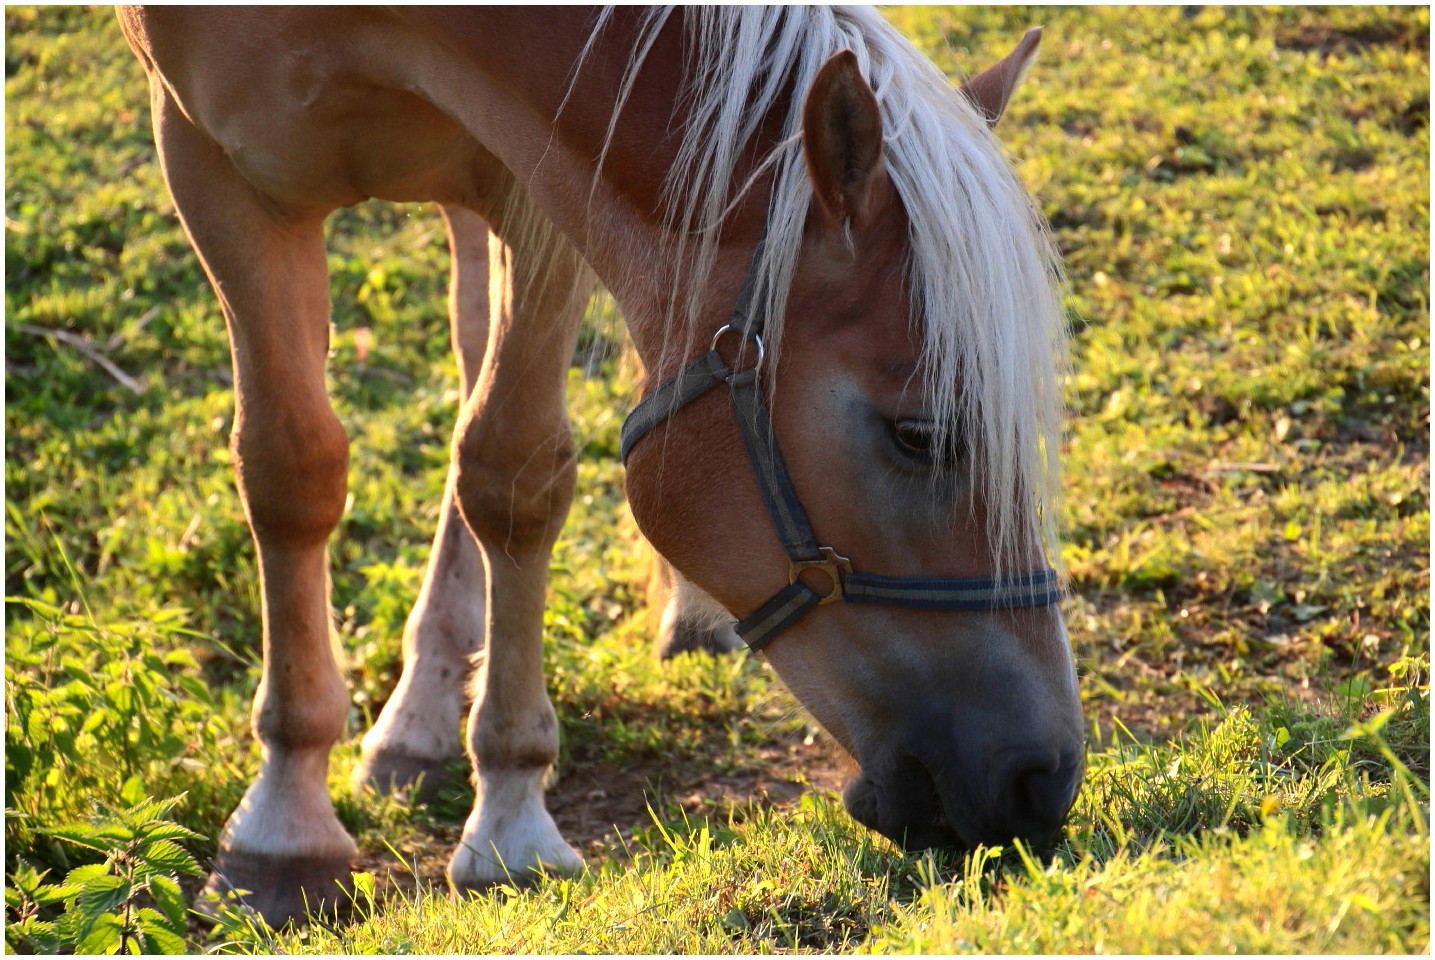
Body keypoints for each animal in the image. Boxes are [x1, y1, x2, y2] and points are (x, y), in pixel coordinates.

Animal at [117, 5, 1079, 918]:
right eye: (918, 434)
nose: (1043, 778)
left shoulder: (537, 184)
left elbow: (510, 471)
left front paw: (509, 821)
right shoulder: (209, 164)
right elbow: (289, 471)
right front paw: (283, 829)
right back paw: (417, 716)